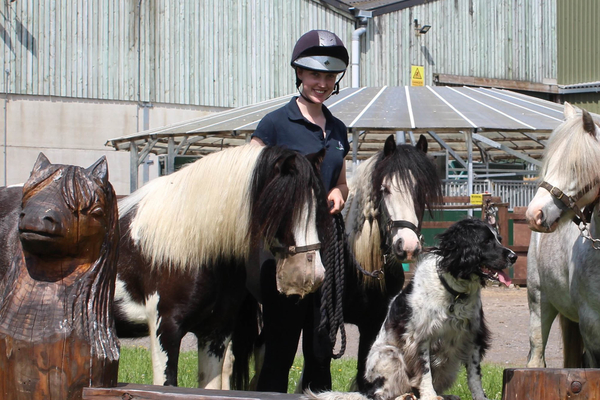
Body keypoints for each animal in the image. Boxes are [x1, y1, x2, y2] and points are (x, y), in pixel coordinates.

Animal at [308, 219, 516, 400]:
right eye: (486, 241)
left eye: (499, 238)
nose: (514, 256)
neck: (454, 292)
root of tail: (364, 389)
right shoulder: (420, 337)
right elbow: (424, 372)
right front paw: (430, 396)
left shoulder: (472, 335)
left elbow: (474, 375)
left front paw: (480, 397)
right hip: (390, 355)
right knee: (380, 394)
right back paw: (404, 396)